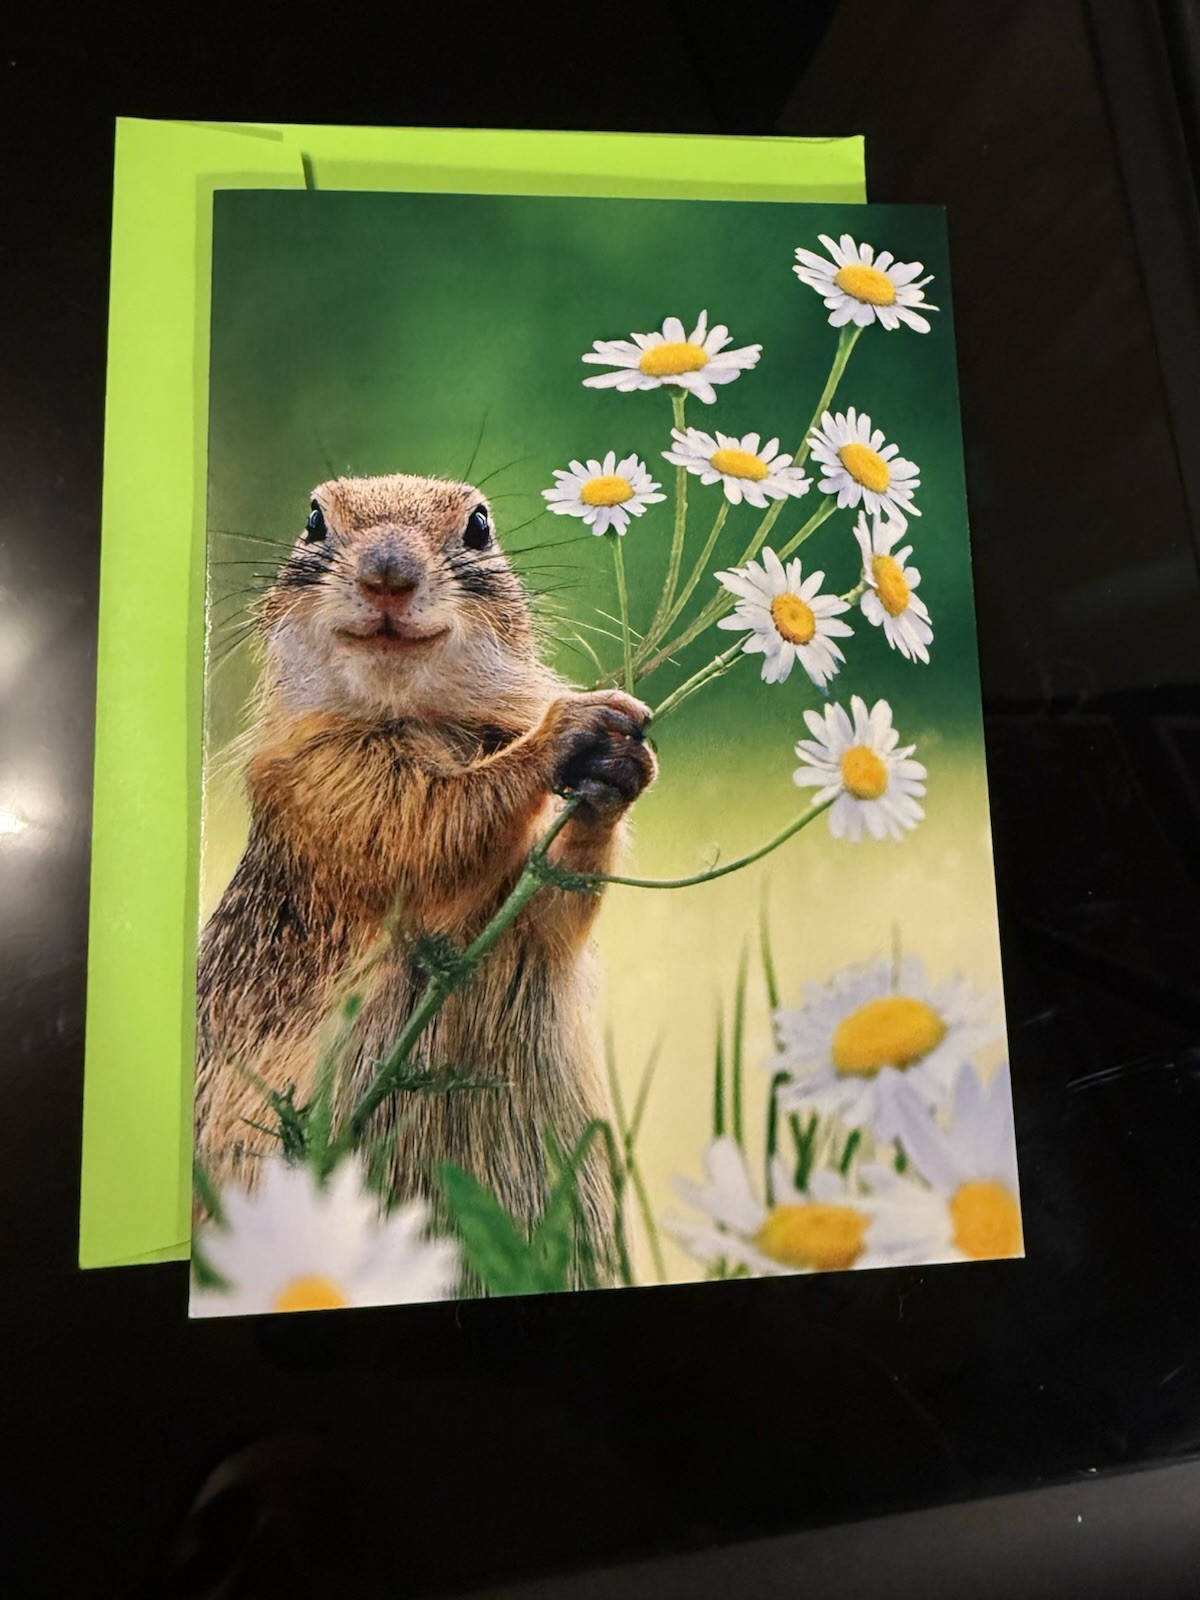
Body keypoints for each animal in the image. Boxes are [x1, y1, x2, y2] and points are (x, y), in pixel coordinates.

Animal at [193, 473, 656, 1273]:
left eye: (479, 526)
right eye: (314, 521)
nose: (387, 575)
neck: (418, 717)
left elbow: (552, 905)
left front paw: (619, 766)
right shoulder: (318, 779)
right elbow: (428, 825)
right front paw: (567, 728)